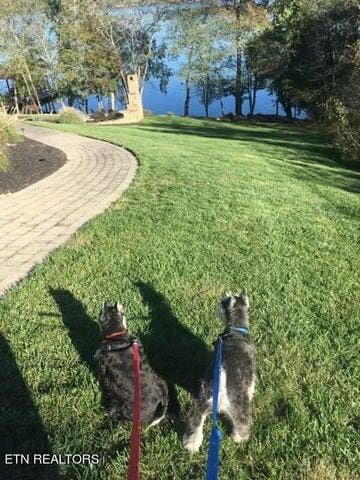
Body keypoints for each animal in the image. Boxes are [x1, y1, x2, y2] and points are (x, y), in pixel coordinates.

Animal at [183, 290, 256, 452]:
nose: (218, 304)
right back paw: (239, 438)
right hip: (239, 405)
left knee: (194, 422)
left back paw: (191, 445)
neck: (235, 331)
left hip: (201, 404)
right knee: (242, 421)